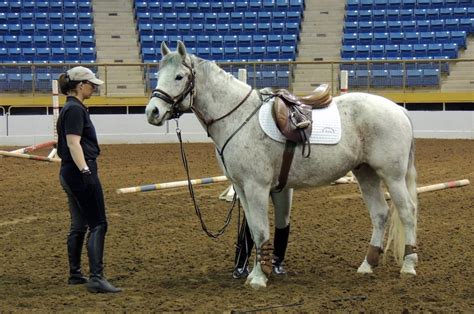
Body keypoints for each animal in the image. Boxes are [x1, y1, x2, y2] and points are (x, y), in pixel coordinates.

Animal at [145, 41, 418, 290]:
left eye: (179, 76)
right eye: (159, 75)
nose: (152, 112)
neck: (239, 117)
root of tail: (399, 110)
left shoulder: (256, 187)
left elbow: (261, 231)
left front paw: (258, 277)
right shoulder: (241, 189)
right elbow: (253, 230)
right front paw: (258, 271)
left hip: (392, 176)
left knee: (406, 211)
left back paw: (408, 265)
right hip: (366, 174)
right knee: (380, 214)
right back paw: (367, 265)